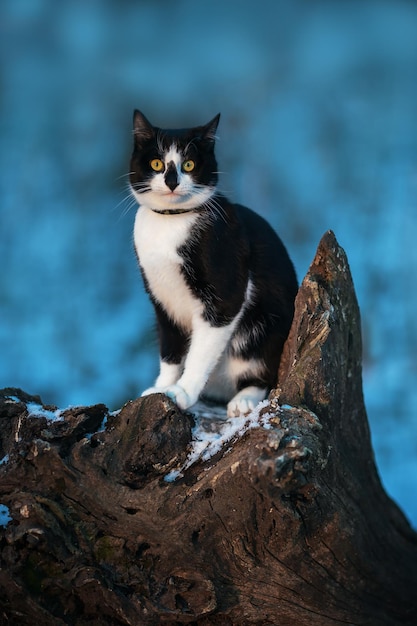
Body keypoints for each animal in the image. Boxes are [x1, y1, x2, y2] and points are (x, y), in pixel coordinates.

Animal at [129, 110, 296, 416]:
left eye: (189, 164)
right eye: (157, 163)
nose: (172, 181)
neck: (169, 223)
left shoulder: (225, 292)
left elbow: (201, 350)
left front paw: (182, 392)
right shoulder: (161, 299)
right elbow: (170, 348)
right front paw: (161, 387)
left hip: (266, 331)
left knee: (263, 373)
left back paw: (244, 399)